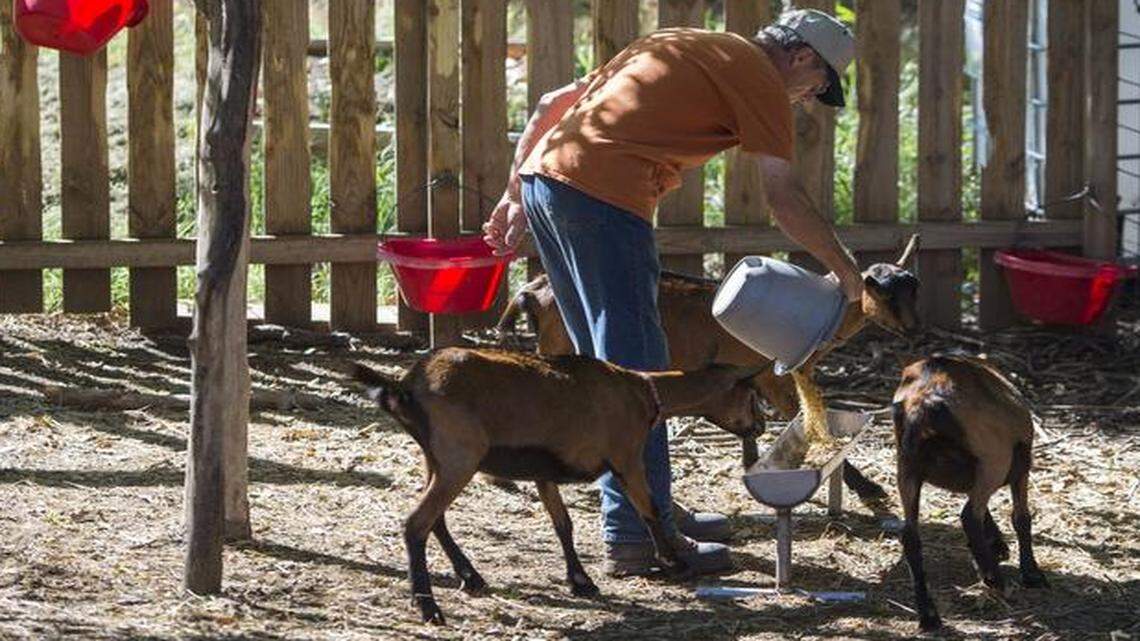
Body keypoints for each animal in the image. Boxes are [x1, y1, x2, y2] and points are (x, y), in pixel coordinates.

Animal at [353, 348, 764, 625]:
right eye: (752, 395)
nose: (759, 427)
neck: (643, 391)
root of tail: (405, 386)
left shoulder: (544, 468)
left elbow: (562, 523)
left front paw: (580, 580)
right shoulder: (626, 456)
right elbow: (648, 508)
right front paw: (674, 562)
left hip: (435, 459)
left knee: (435, 520)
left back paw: (470, 577)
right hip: (460, 457)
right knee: (416, 523)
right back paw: (427, 605)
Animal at [891, 354, 1048, 631]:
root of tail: (925, 402)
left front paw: (996, 545)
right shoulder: (1019, 466)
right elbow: (1021, 518)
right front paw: (1031, 573)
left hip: (907, 468)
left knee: (911, 537)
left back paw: (929, 615)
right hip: (994, 461)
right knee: (968, 516)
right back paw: (994, 578)